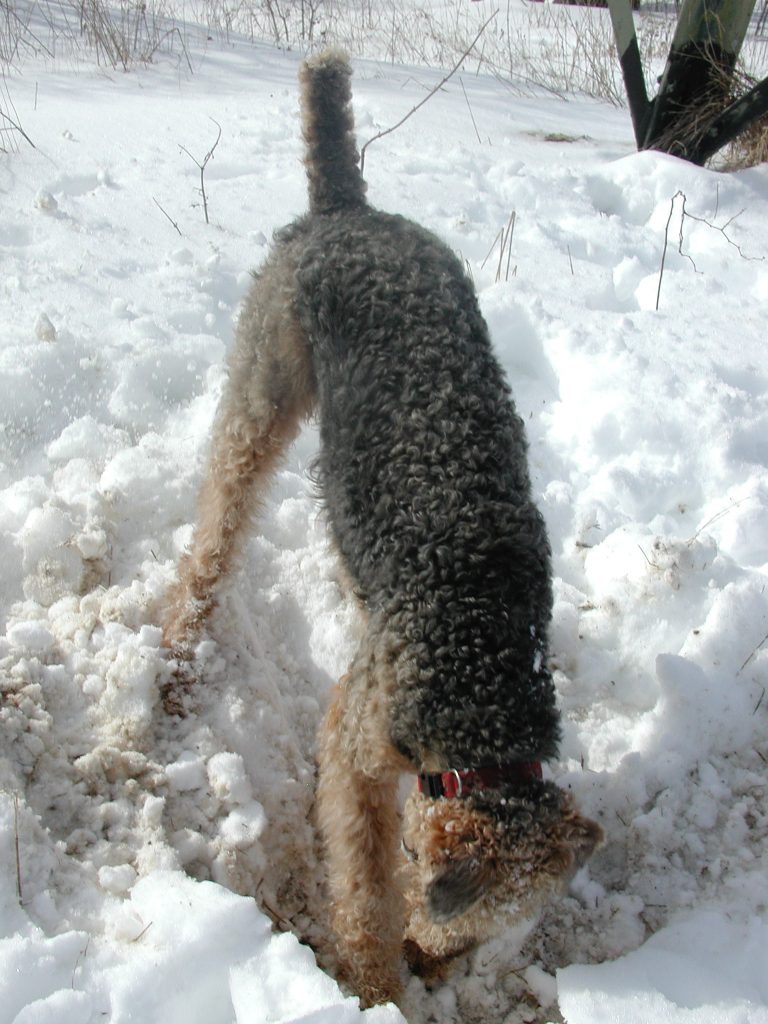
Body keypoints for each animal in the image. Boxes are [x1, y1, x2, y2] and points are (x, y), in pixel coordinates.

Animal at [165, 49, 606, 1007]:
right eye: (457, 924)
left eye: (482, 942)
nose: (430, 966)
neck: (482, 687)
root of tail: (349, 211)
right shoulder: (354, 742)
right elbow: (361, 887)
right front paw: (370, 985)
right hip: (265, 384)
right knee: (216, 519)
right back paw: (179, 640)